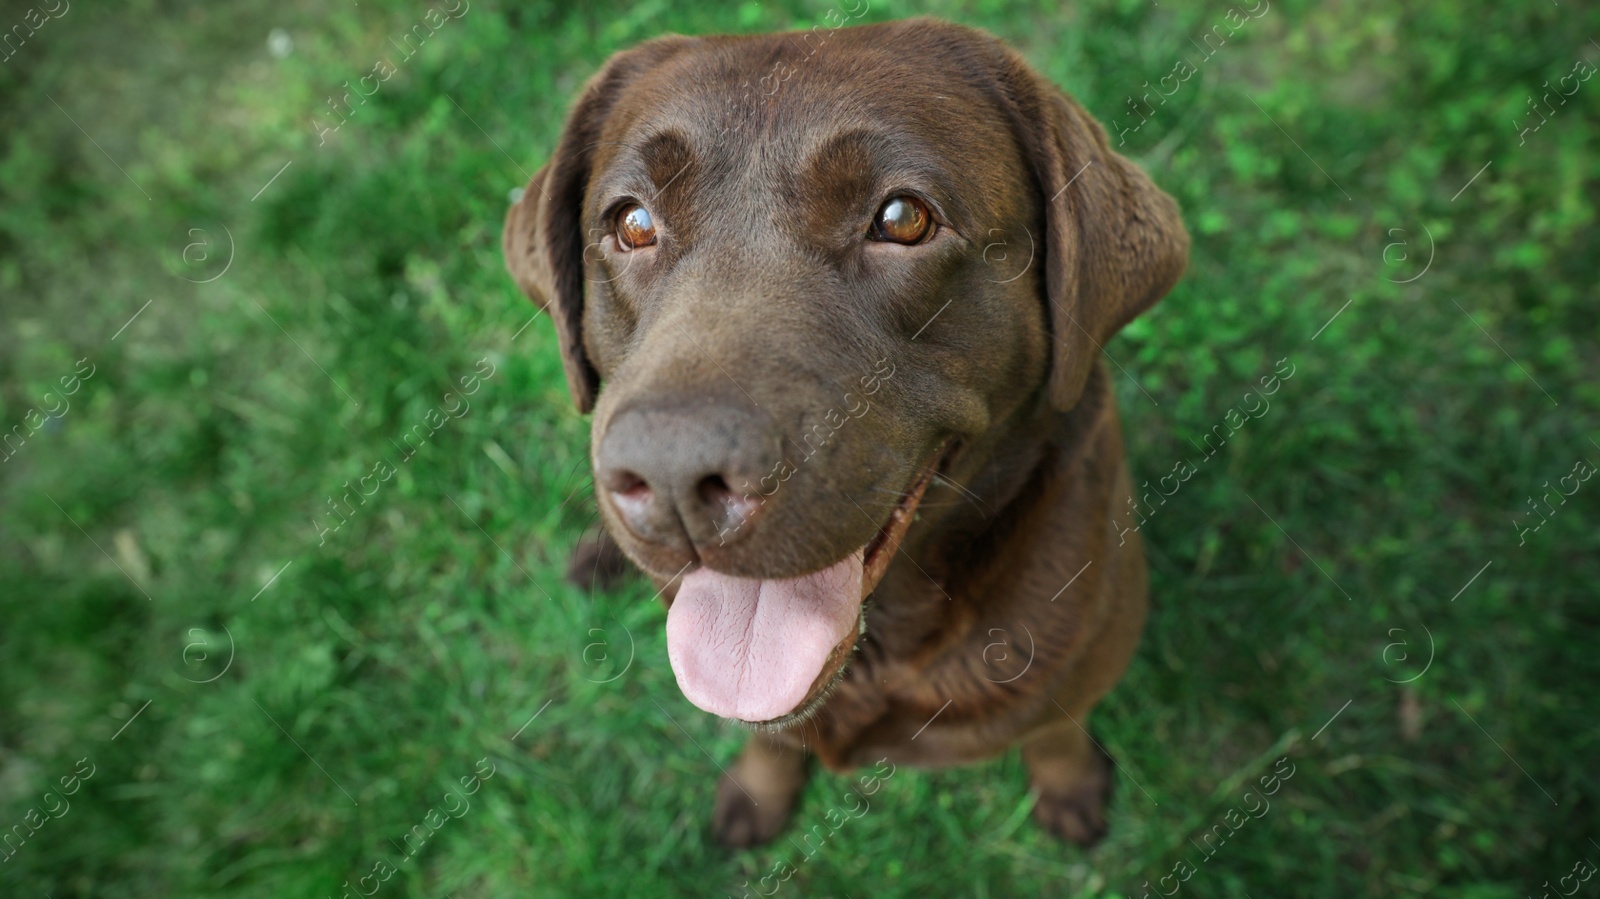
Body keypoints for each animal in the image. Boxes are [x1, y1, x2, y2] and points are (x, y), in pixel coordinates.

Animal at [502, 15, 1190, 844]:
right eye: (631, 223)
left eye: (902, 218)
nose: (673, 476)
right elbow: (769, 732)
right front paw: (757, 793)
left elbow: (1055, 724)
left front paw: (1069, 786)